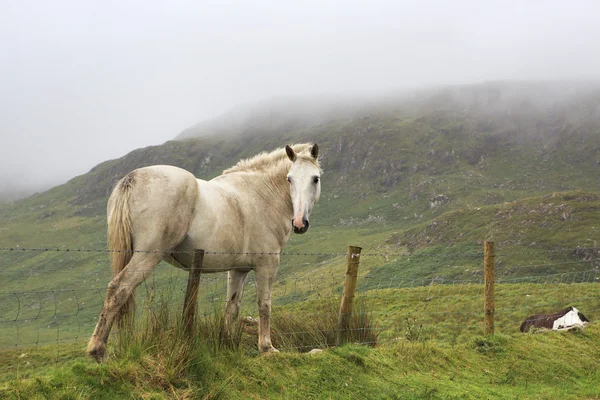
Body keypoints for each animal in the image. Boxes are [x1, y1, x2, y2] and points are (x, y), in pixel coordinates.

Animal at [86, 143, 322, 360]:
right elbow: (264, 305)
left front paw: (227, 344)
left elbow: (232, 308)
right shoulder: (267, 265)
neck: (262, 194)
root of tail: (132, 178)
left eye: (315, 178)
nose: (299, 223)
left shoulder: (238, 270)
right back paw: (97, 350)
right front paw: (267, 347)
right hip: (147, 256)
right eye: (289, 179)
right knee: (119, 289)